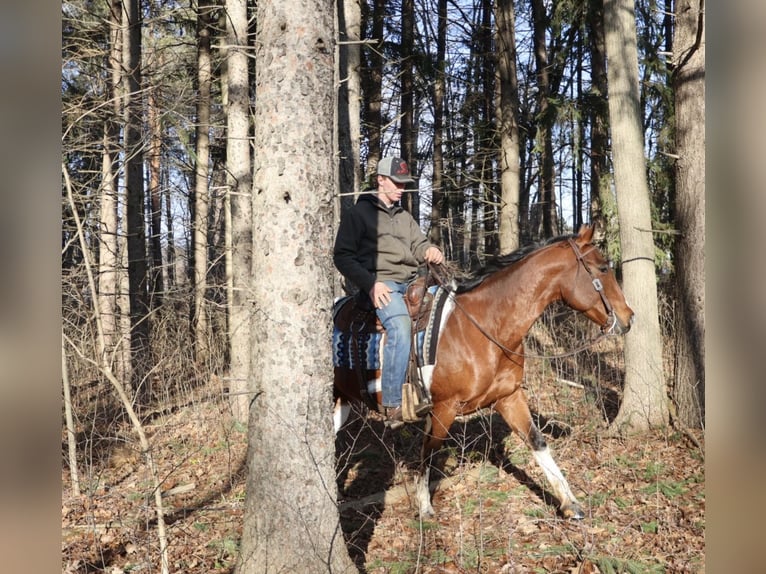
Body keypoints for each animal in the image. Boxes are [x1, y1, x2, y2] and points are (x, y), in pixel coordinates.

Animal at [333, 224, 634, 520]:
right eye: (602, 268)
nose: (629, 317)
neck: (486, 326)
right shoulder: (443, 408)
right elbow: (429, 451)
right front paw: (425, 507)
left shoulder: (509, 397)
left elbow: (537, 441)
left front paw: (570, 503)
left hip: (342, 403)